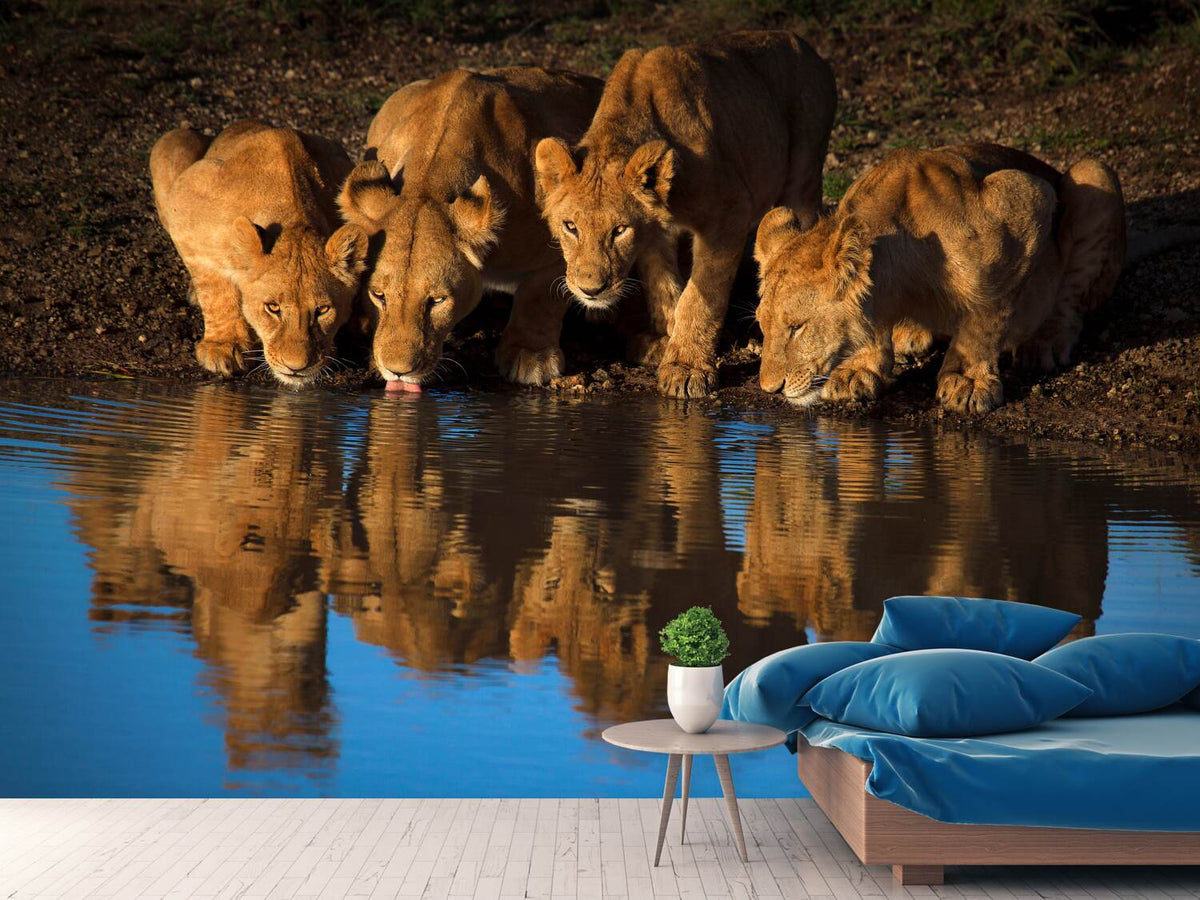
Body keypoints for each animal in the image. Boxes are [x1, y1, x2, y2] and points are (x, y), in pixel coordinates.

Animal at [151, 119, 369, 386]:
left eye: (323, 310)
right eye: (272, 308)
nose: (296, 367)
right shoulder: (185, 203)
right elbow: (215, 288)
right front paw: (224, 346)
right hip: (171, 142)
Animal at [337, 67, 602, 386]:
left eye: (438, 300)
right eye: (378, 295)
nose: (398, 371)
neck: (429, 180)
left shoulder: (559, 242)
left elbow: (540, 298)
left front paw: (531, 355)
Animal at [534, 30, 837, 397]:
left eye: (619, 230)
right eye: (570, 226)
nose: (591, 290)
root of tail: (804, 44)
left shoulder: (729, 213)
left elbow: (700, 296)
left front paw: (687, 368)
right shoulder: (654, 233)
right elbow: (664, 287)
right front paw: (667, 341)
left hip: (804, 172)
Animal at [754, 143, 1125, 413]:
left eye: (797, 327)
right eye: (763, 326)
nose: (770, 389)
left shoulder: (1025, 200)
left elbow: (985, 315)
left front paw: (968, 380)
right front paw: (860, 369)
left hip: (1094, 175)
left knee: (1070, 302)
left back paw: (1043, 343)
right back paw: (911, 334)